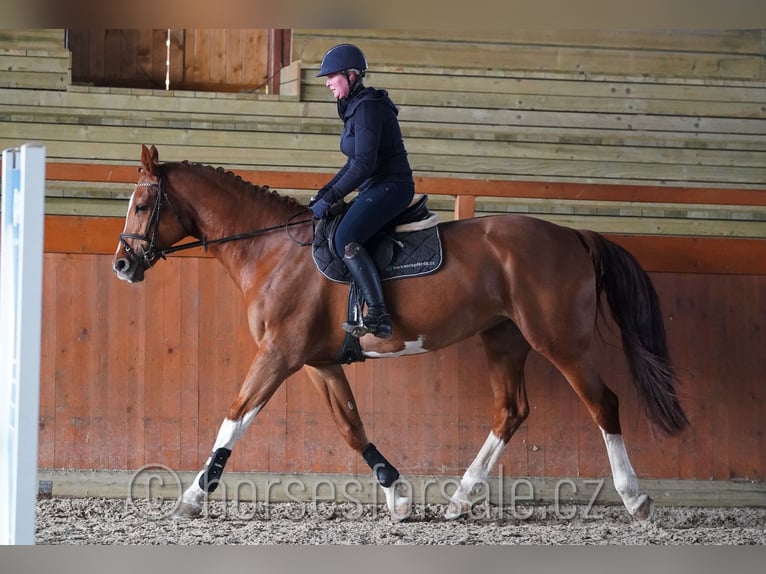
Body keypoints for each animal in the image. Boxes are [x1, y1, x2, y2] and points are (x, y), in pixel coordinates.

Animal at [112, 146, 688, 524]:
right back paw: (460, 499)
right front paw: (398, 496)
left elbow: (233, 419)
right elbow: (351, 428)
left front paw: (192, 497)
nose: (122, 264)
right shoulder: (319, 362)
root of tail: (572, 234)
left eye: (141, 205)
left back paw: (635, 499)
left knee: (603, 403)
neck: (273, 250)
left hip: (559, 342)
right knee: (510, 411)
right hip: (503, 338)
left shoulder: (278, 354)